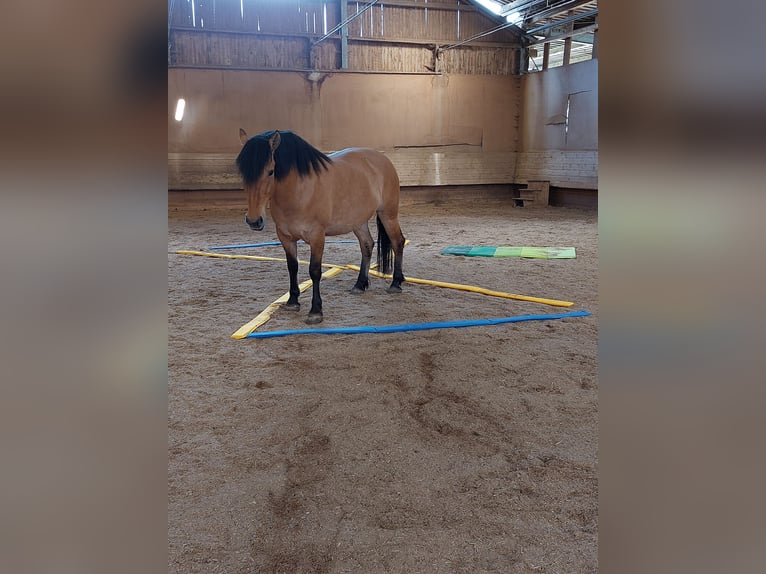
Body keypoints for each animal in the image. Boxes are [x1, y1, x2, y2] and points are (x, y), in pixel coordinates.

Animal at [237, 130, 408, 326]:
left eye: (271, 172)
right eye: (243, 174)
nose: (254, 221)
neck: (299, 191)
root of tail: (383, 159)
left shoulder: (317, 236)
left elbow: (314, 271)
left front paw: (315, 311)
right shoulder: (285, 237)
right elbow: (292, 267)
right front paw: (292, 302)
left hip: (388, 215)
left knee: (398, 242)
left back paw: (395, 283)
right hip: (358, 222)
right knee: (367, 245)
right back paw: (359, 285)